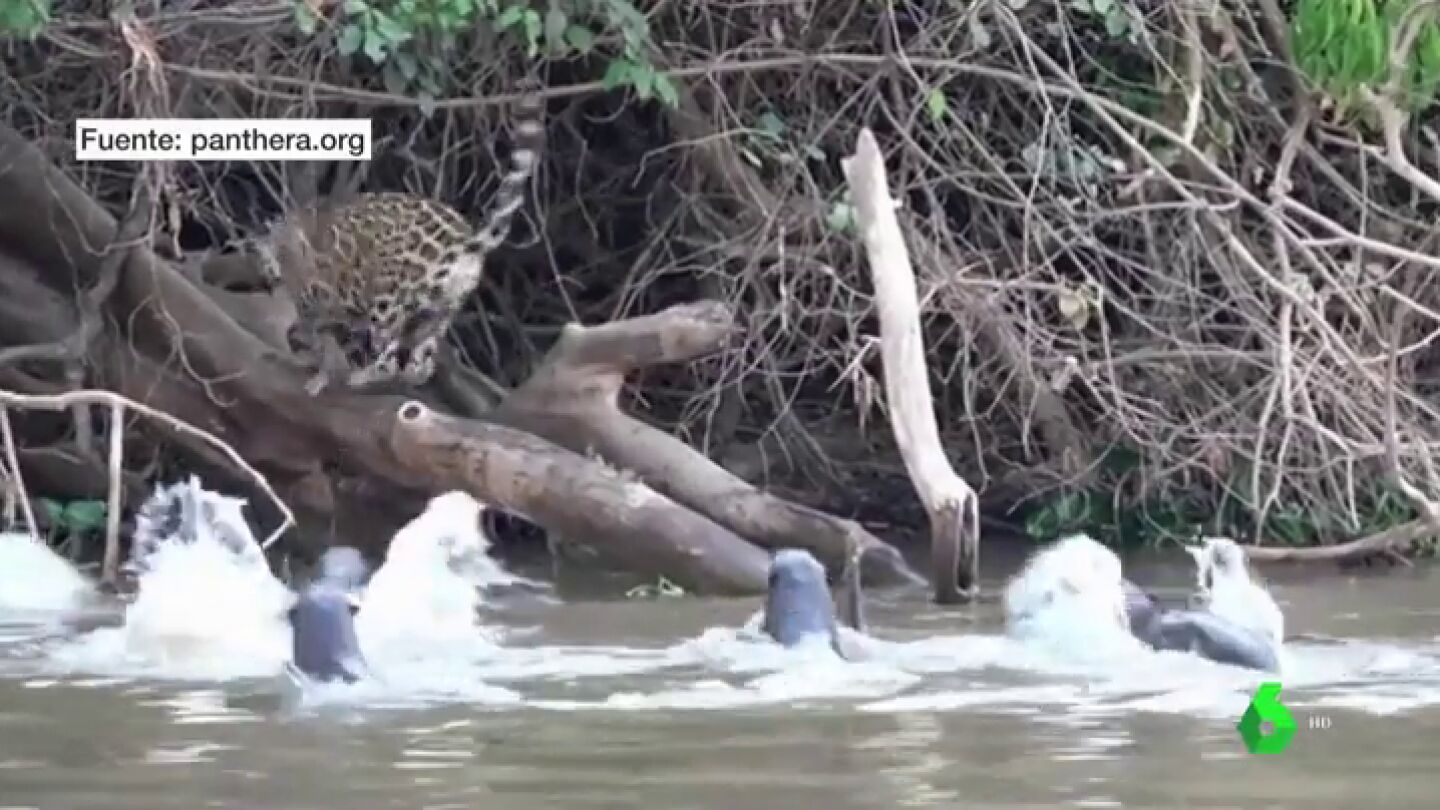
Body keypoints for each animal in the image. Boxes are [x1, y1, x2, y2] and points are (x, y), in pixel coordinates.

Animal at [251, 87, 545, 395]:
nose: (267, 276)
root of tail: (463, 238)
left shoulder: (318, 302)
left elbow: (319, 338)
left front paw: (317, 373)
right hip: (440, 307)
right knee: (422, 360)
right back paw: (407, 375)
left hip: (388, 300)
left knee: (389, 354)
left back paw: (366, 375)